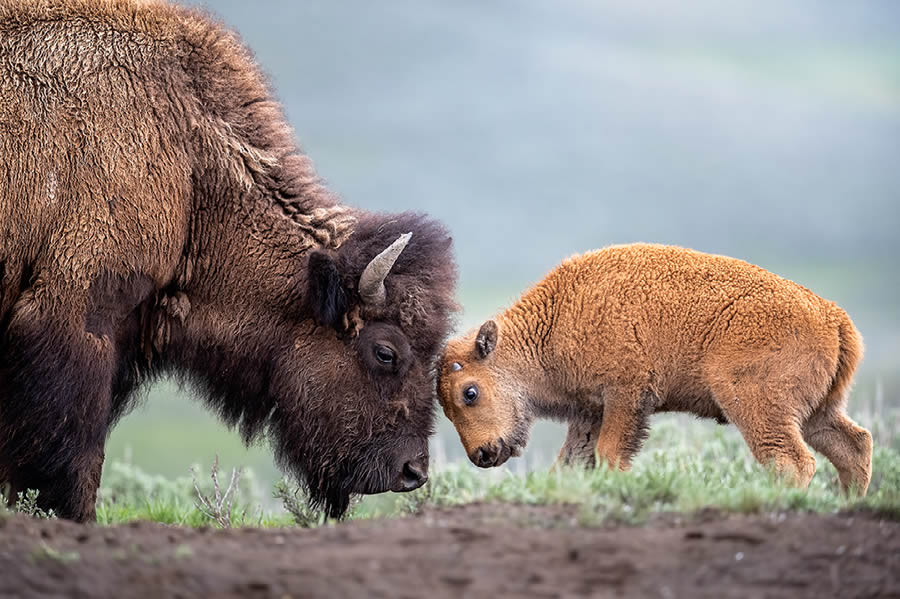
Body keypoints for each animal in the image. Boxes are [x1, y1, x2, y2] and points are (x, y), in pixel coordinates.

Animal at [440, 244, 876, 496]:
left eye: (469, 392)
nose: (482, 454)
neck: (557, 318)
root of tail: (832, 316)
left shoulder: (625, 397)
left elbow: (609, 453)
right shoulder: (590, 410)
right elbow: (570, 463)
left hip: (756, 405)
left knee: (791, 461)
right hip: (818, 411)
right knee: (853, 445)